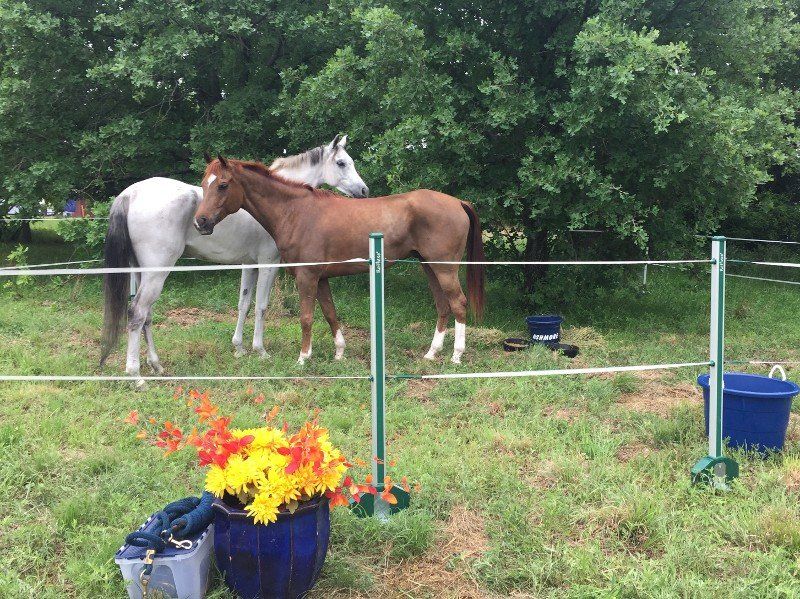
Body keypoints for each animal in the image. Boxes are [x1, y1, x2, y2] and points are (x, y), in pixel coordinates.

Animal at [101, 135, 369, 381]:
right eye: (342, 163)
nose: (364, 191)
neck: (283, 206)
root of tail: (130, 194)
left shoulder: (248, 264)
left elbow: (244, 304)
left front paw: (239, 348)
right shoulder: (268, 263)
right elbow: (261, 305)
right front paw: (260, 351)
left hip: (141, 272)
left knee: (146, 316)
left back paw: (156, 365)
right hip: (157, 272)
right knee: (137, 312)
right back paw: (135, 375)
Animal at [193, 156, 485, 365]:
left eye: (223, 185)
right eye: (205, 183)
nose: (201, 222)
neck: (296, 212)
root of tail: (458, 202)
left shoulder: (307, 277)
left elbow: (307, 317)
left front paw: (303, 358)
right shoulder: (321, 278)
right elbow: (330, 313)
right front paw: (339, 353)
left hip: (444, 269)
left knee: (458, 304)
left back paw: (456, 355)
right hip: (429, 267)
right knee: (442, 306)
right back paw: (432, 353)